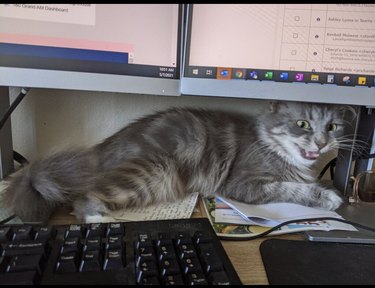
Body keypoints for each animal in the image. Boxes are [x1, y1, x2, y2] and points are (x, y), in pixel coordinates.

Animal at [2, 100, 356, 223]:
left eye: (333, 127)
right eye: (303, 124)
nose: (322, 143)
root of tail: (100, 151)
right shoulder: (244, 183)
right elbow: (292, 188)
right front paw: (328, 196)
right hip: (151, 173)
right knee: (82, 200)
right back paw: (102, 220)